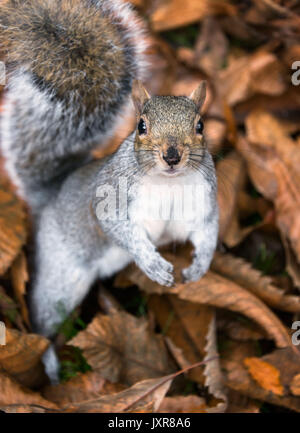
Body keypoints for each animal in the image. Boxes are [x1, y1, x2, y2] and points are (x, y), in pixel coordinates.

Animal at [0, 0, 217, 382]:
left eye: (200, 126)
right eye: (141, 126)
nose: (172, 155)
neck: (168, 182)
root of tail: (51, 195)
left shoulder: (203, 201)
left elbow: (207, 231)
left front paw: (200, 266)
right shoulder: (109, 198)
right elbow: (119, 228)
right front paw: (150, 262)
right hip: (62, 274)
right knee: (43, 317)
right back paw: (48, 360)